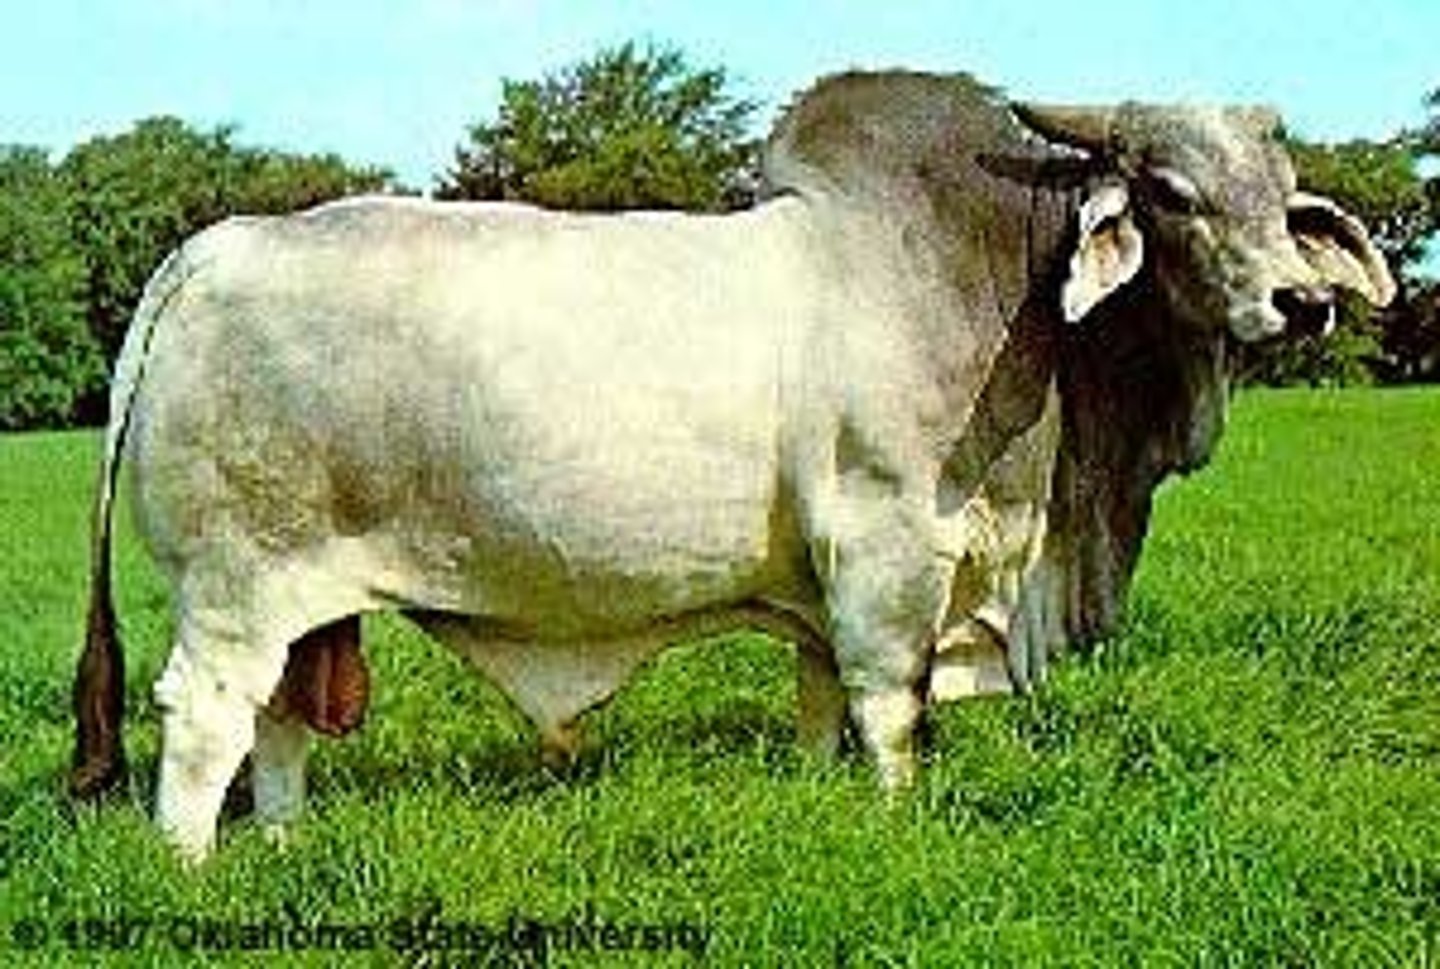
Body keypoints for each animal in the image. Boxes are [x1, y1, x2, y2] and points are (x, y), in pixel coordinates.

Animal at [70, 71, 1393, 859]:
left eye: (1285, 195)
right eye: (1170, 191)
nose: (1302, 302)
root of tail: (215, 243)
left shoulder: (821, 580)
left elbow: (819, 700)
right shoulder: (891, 550)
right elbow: (892, 707)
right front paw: (895, 820)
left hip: (307, 600)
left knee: (280, 725)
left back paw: (284, 847)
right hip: (237, 586)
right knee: (205, 718)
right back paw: (190, 870)